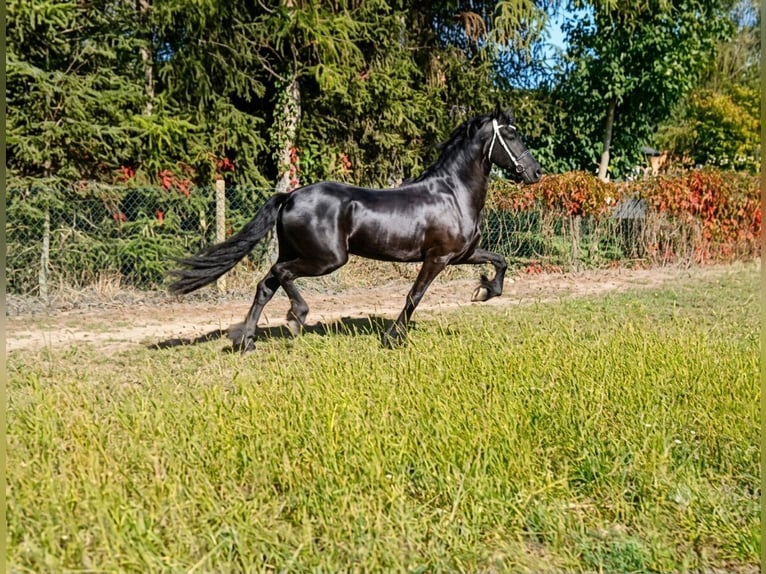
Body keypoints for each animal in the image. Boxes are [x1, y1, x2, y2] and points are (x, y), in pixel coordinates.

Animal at [168, 108, 543, 352]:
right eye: (510, 135)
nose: (535, 173)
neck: (453, 193)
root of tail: (290, 196)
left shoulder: (462, 255)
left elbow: (501, 261)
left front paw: (484, 291)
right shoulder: (437, 259)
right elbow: (414, 295)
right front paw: (393, 339)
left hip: (299, 252)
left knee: (266, 284)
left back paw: (247, 341)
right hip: (328, 259)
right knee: (281, 275)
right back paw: (295, 318)